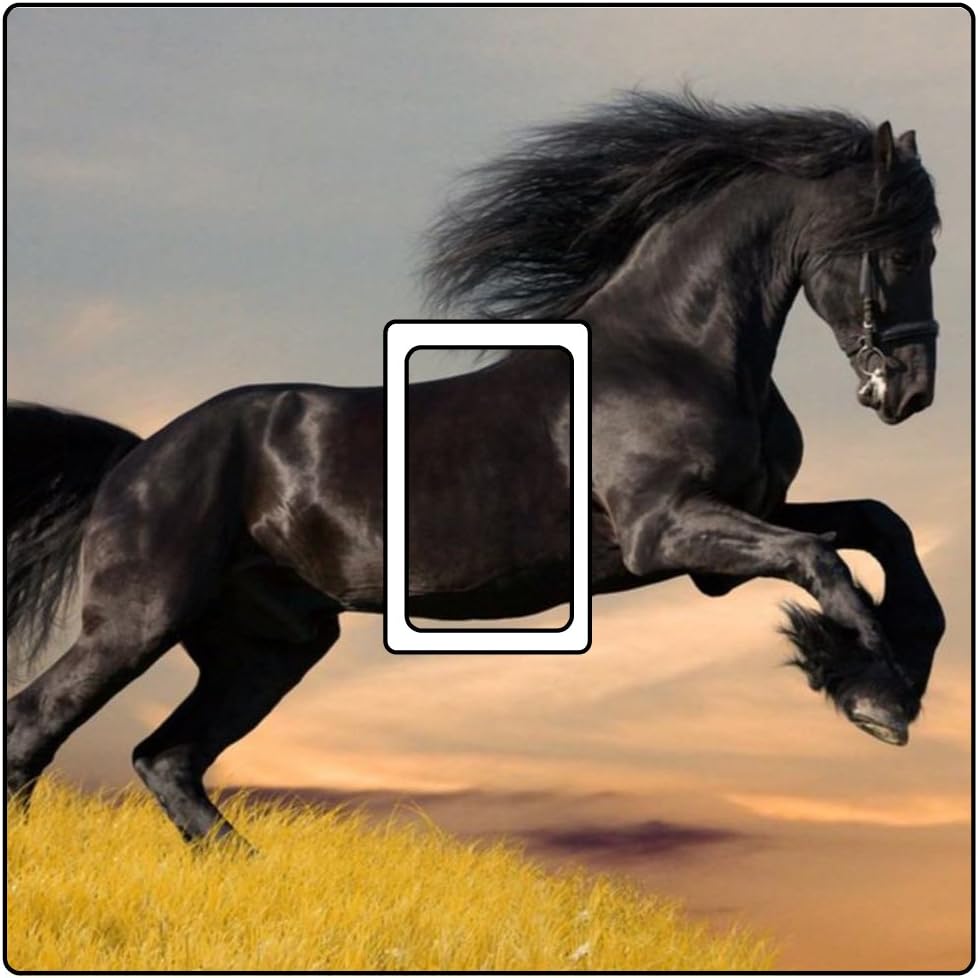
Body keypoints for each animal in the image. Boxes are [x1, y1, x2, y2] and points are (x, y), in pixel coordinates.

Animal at [6, 92, 945, 846]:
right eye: (904, 252)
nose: (912, 390)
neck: (675, 350)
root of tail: (136, 456)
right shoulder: (667, 529)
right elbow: (824, 560)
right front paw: (876, 695)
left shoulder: (735, 530)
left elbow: (880, 527)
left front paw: (887, 677)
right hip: (138, 619)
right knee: (37, 725)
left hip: (270, 646)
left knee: (165, 758)